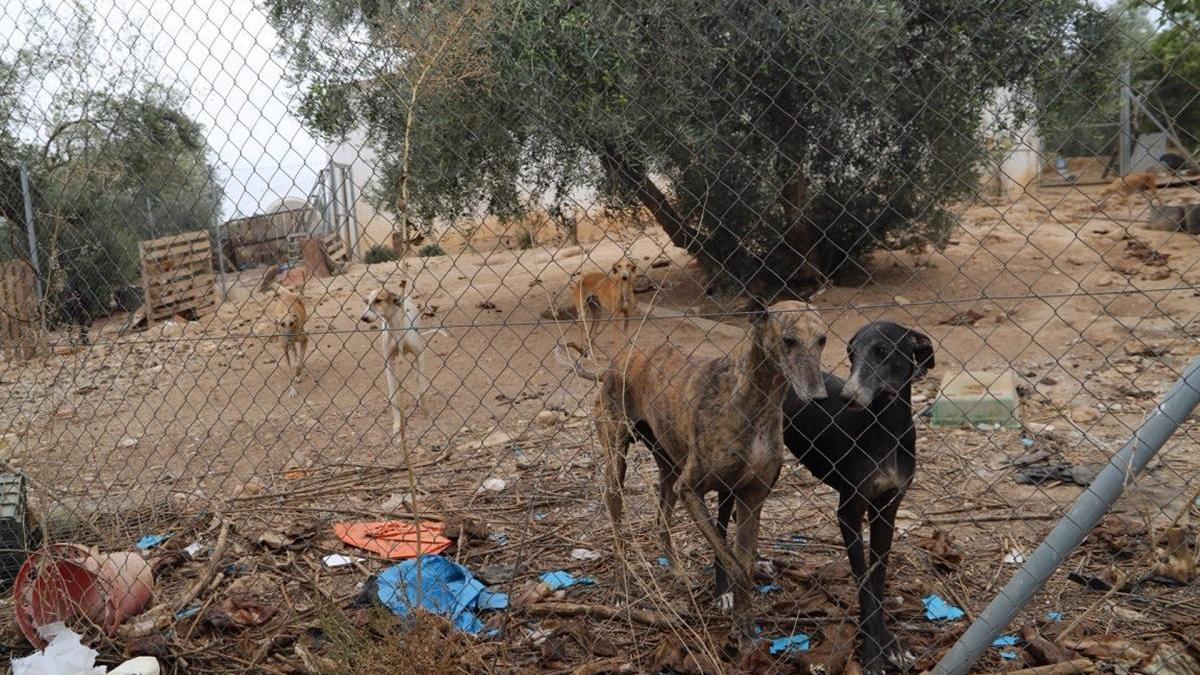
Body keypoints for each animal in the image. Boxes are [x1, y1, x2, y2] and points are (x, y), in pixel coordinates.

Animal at [362, 282, 444, 429]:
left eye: (378, 300)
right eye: (367, 302)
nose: (363, 318)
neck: (396, 327)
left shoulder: (420, 354)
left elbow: (421, 386)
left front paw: (427, 413)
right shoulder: (389, 363)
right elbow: (393, 395)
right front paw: (397, 424)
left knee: (418, 377)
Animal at [580, 296, 825, 638]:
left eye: (822, 339)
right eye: (789, 340)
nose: (818, 396)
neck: (755, 400)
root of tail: (615, 363)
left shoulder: (751, 498)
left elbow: (743, 563)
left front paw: (744, 626)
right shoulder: (690, 490)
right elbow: (735, 565)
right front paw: (736, 618)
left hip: (668, 469)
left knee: (661, 523)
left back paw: (679, 574)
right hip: (618, 464)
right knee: (617, 526)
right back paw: (620, 589)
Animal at [710, 324, 936, 662]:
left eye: (883, 351)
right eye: (851, 353)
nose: (848, 397)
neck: (886, 426)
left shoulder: (887, 509)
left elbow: (877, 578)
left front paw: (890, 644)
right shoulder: (848, 512)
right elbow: (863, 581)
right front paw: (873, 653)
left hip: (767, 471)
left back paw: (756, 564)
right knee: (720, 525)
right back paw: (724, 590)